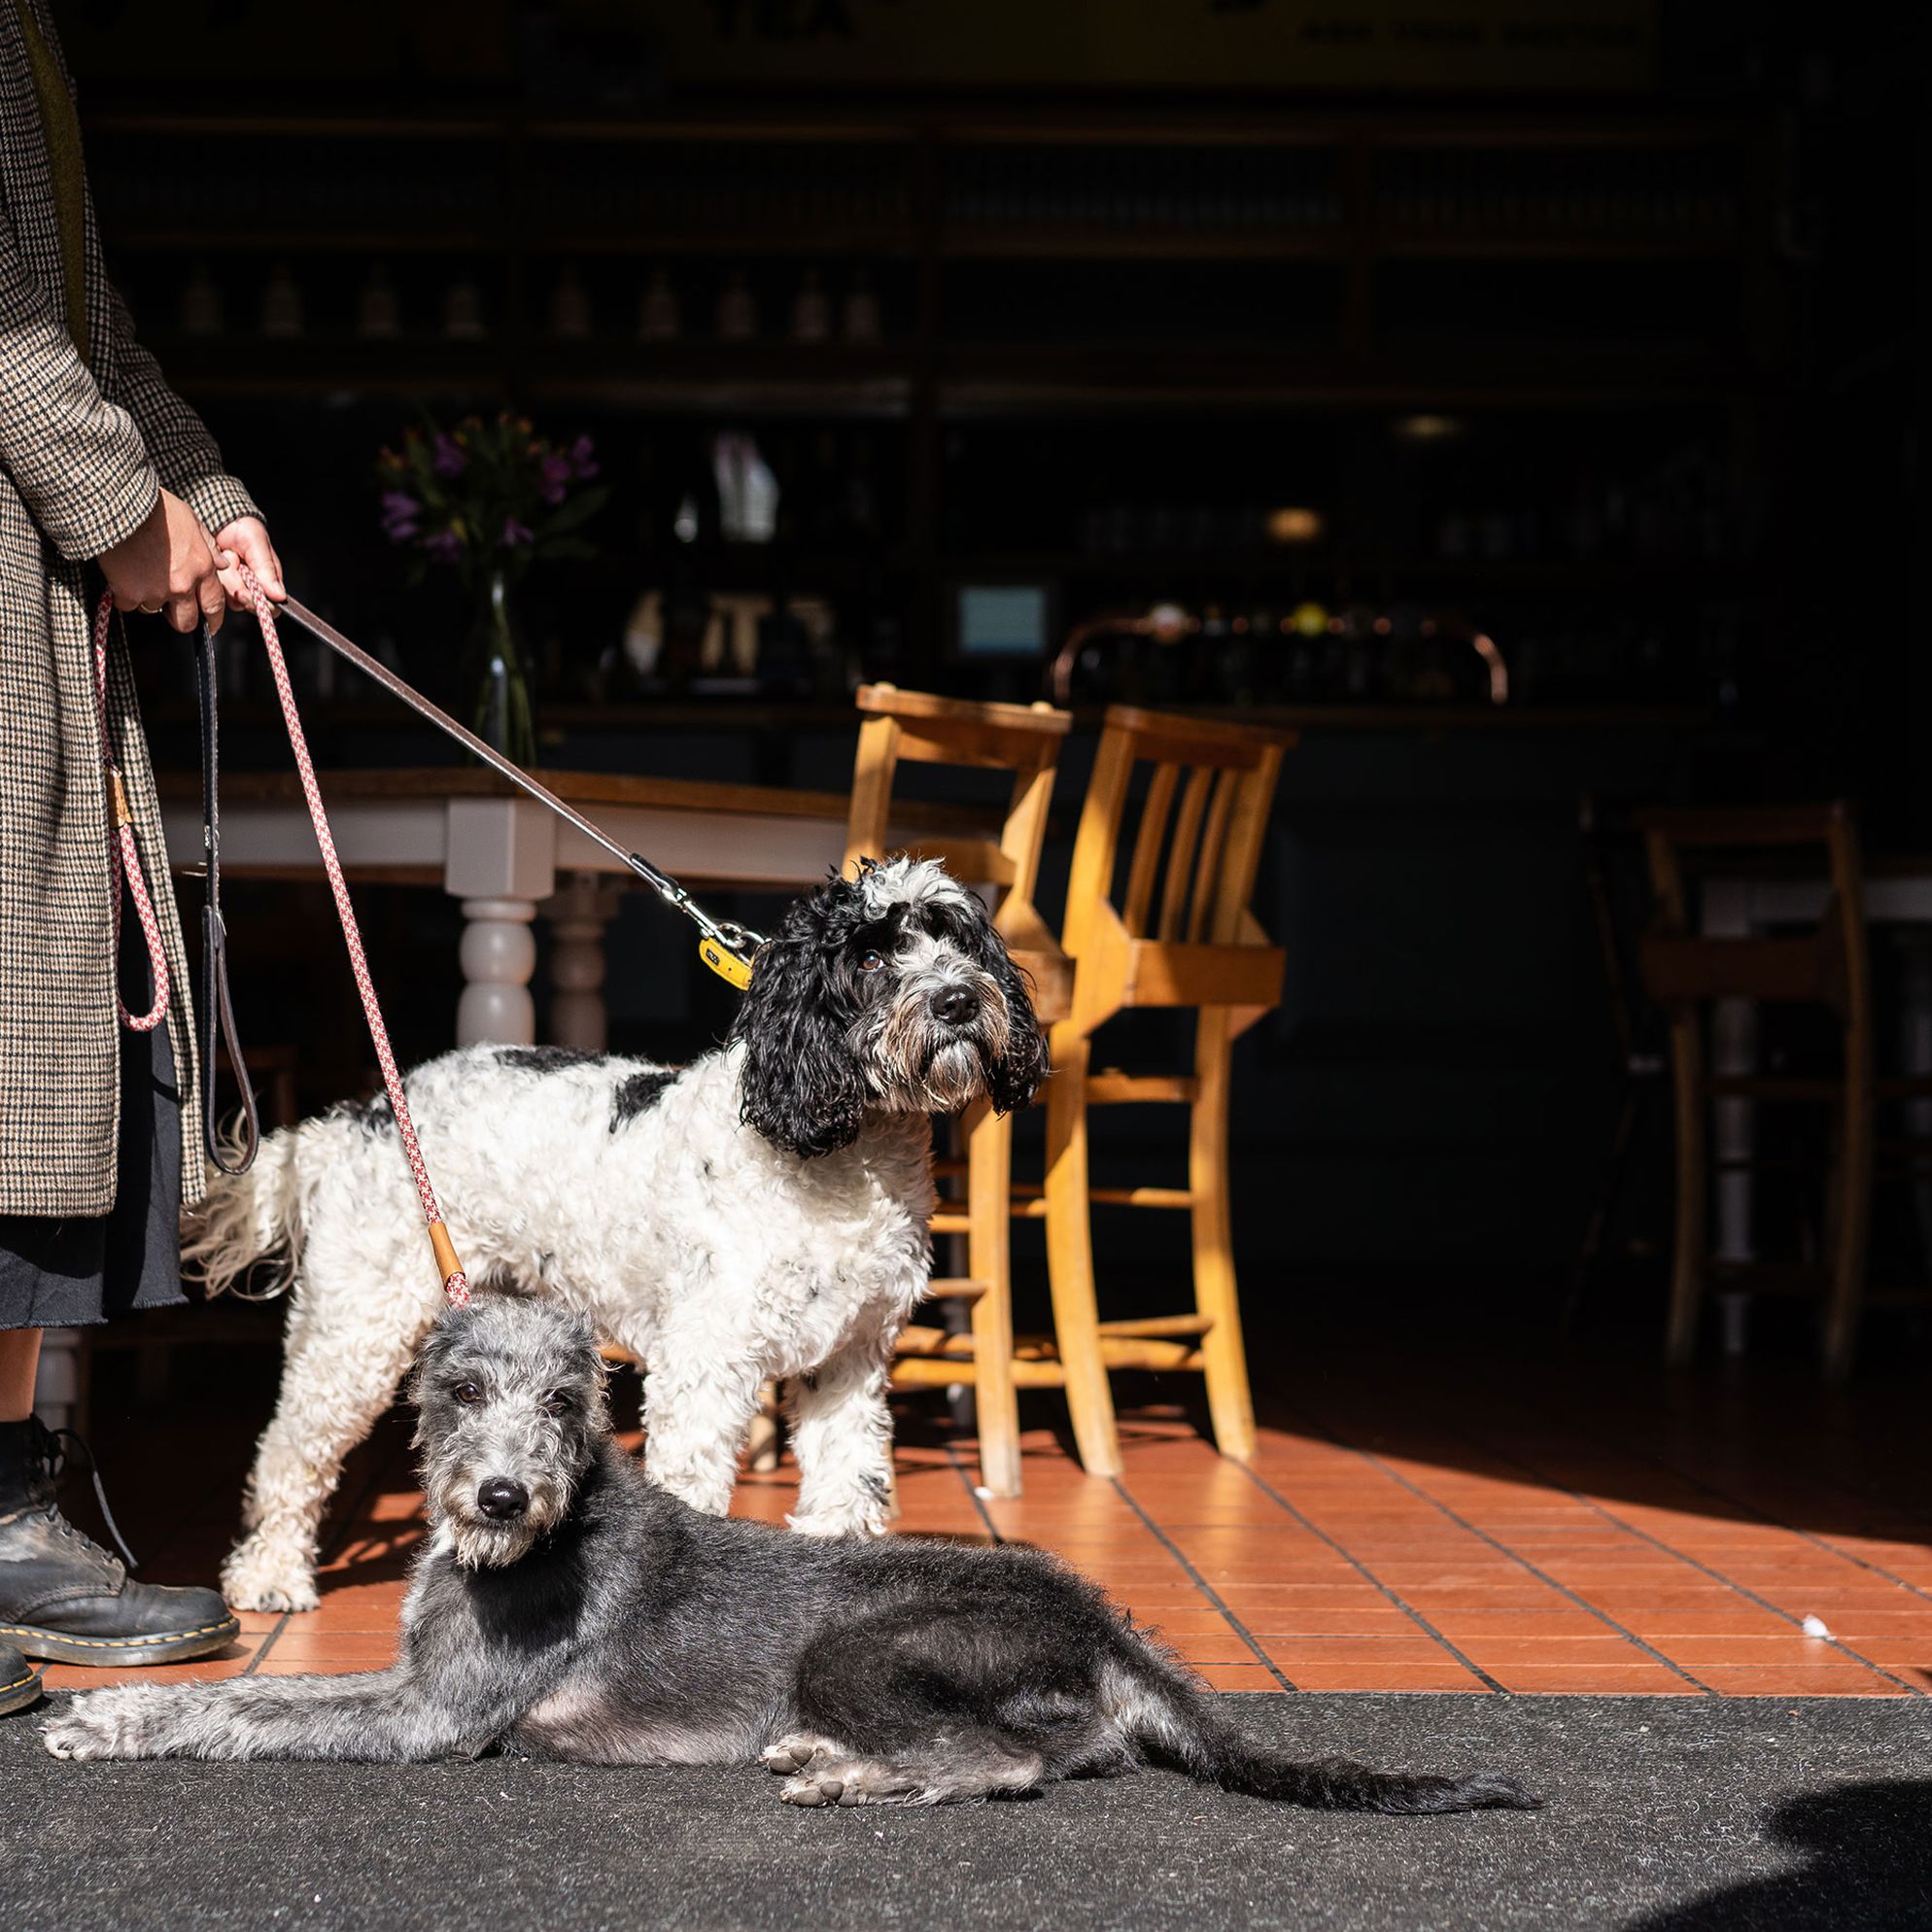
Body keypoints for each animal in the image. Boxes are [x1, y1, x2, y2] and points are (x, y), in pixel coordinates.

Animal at [45, 1290, 1545, 1815]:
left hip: (862, 1648)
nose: (502, 1499)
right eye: (461, 1389)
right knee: (1070, 1749)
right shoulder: (411, 1683)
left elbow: (253, 1714)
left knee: (1016, 1764)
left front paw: (121, 1731)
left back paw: (844, 1773)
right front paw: (109, 1714)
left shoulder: (433, 1719)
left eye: (568, 1398)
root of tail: (1104, 1618)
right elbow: (260, 1688)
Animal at [184, 861, 1043, 1614]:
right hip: (355, 1329)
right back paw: (270, 1575)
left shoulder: (850, 1360)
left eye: (958, 940)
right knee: (289, 1451)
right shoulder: (706, 1366)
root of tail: (361, 1118)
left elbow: (846, 1479)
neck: (840, 1156)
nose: (960, 1001)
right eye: (869, 955)